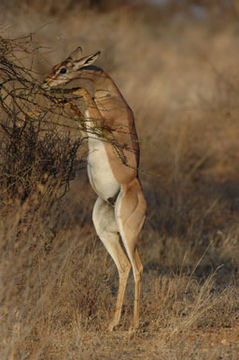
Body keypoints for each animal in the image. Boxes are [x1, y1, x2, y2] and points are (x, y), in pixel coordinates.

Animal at [42, 47, 147, 332]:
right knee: (123, 266)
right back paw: (113, 323)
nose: (45, 82)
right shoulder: (88, 127)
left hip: (128, 232)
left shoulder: (102, 126)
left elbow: (82, 90)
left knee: (138, 267)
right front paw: (61, 101)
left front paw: (66, 93)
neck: (111, 96)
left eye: (64, 69)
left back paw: (133, 326)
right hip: (105, 230)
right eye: (55, 65)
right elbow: (78, 111)